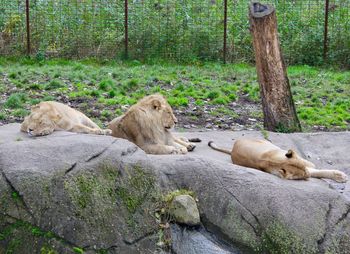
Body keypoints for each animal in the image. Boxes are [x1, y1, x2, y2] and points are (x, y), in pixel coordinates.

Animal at [208, 138, 348, 182]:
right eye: (301, 176)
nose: (307, 176)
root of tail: (232, 150)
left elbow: (317, 170)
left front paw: (340, 176)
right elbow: (315, 171)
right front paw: (341, 176)